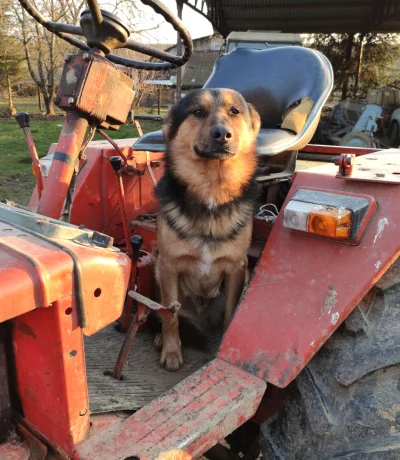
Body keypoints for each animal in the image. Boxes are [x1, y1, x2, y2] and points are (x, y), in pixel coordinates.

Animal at [155, 88, 260, 372]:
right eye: (198, 112)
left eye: (234, 111)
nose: (222, 134)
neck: (212, 187)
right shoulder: (167, 265)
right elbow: (170, 317)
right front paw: (171, 351)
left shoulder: (237, 267)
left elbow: (231, 314)